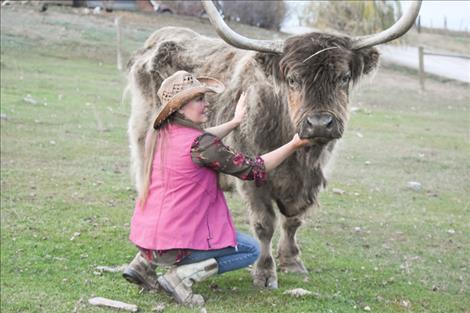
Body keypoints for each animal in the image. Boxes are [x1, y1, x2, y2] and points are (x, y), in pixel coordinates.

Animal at [126, 0, 422, 288]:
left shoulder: (311, 179)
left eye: (344, 77)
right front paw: (265, 273)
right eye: (293, 79)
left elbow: (293, 221)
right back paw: (142, 267)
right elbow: (264, 224)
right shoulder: (254, 180)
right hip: (143, 140)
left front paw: (292, 261)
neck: (297, 160)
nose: (319, 123)